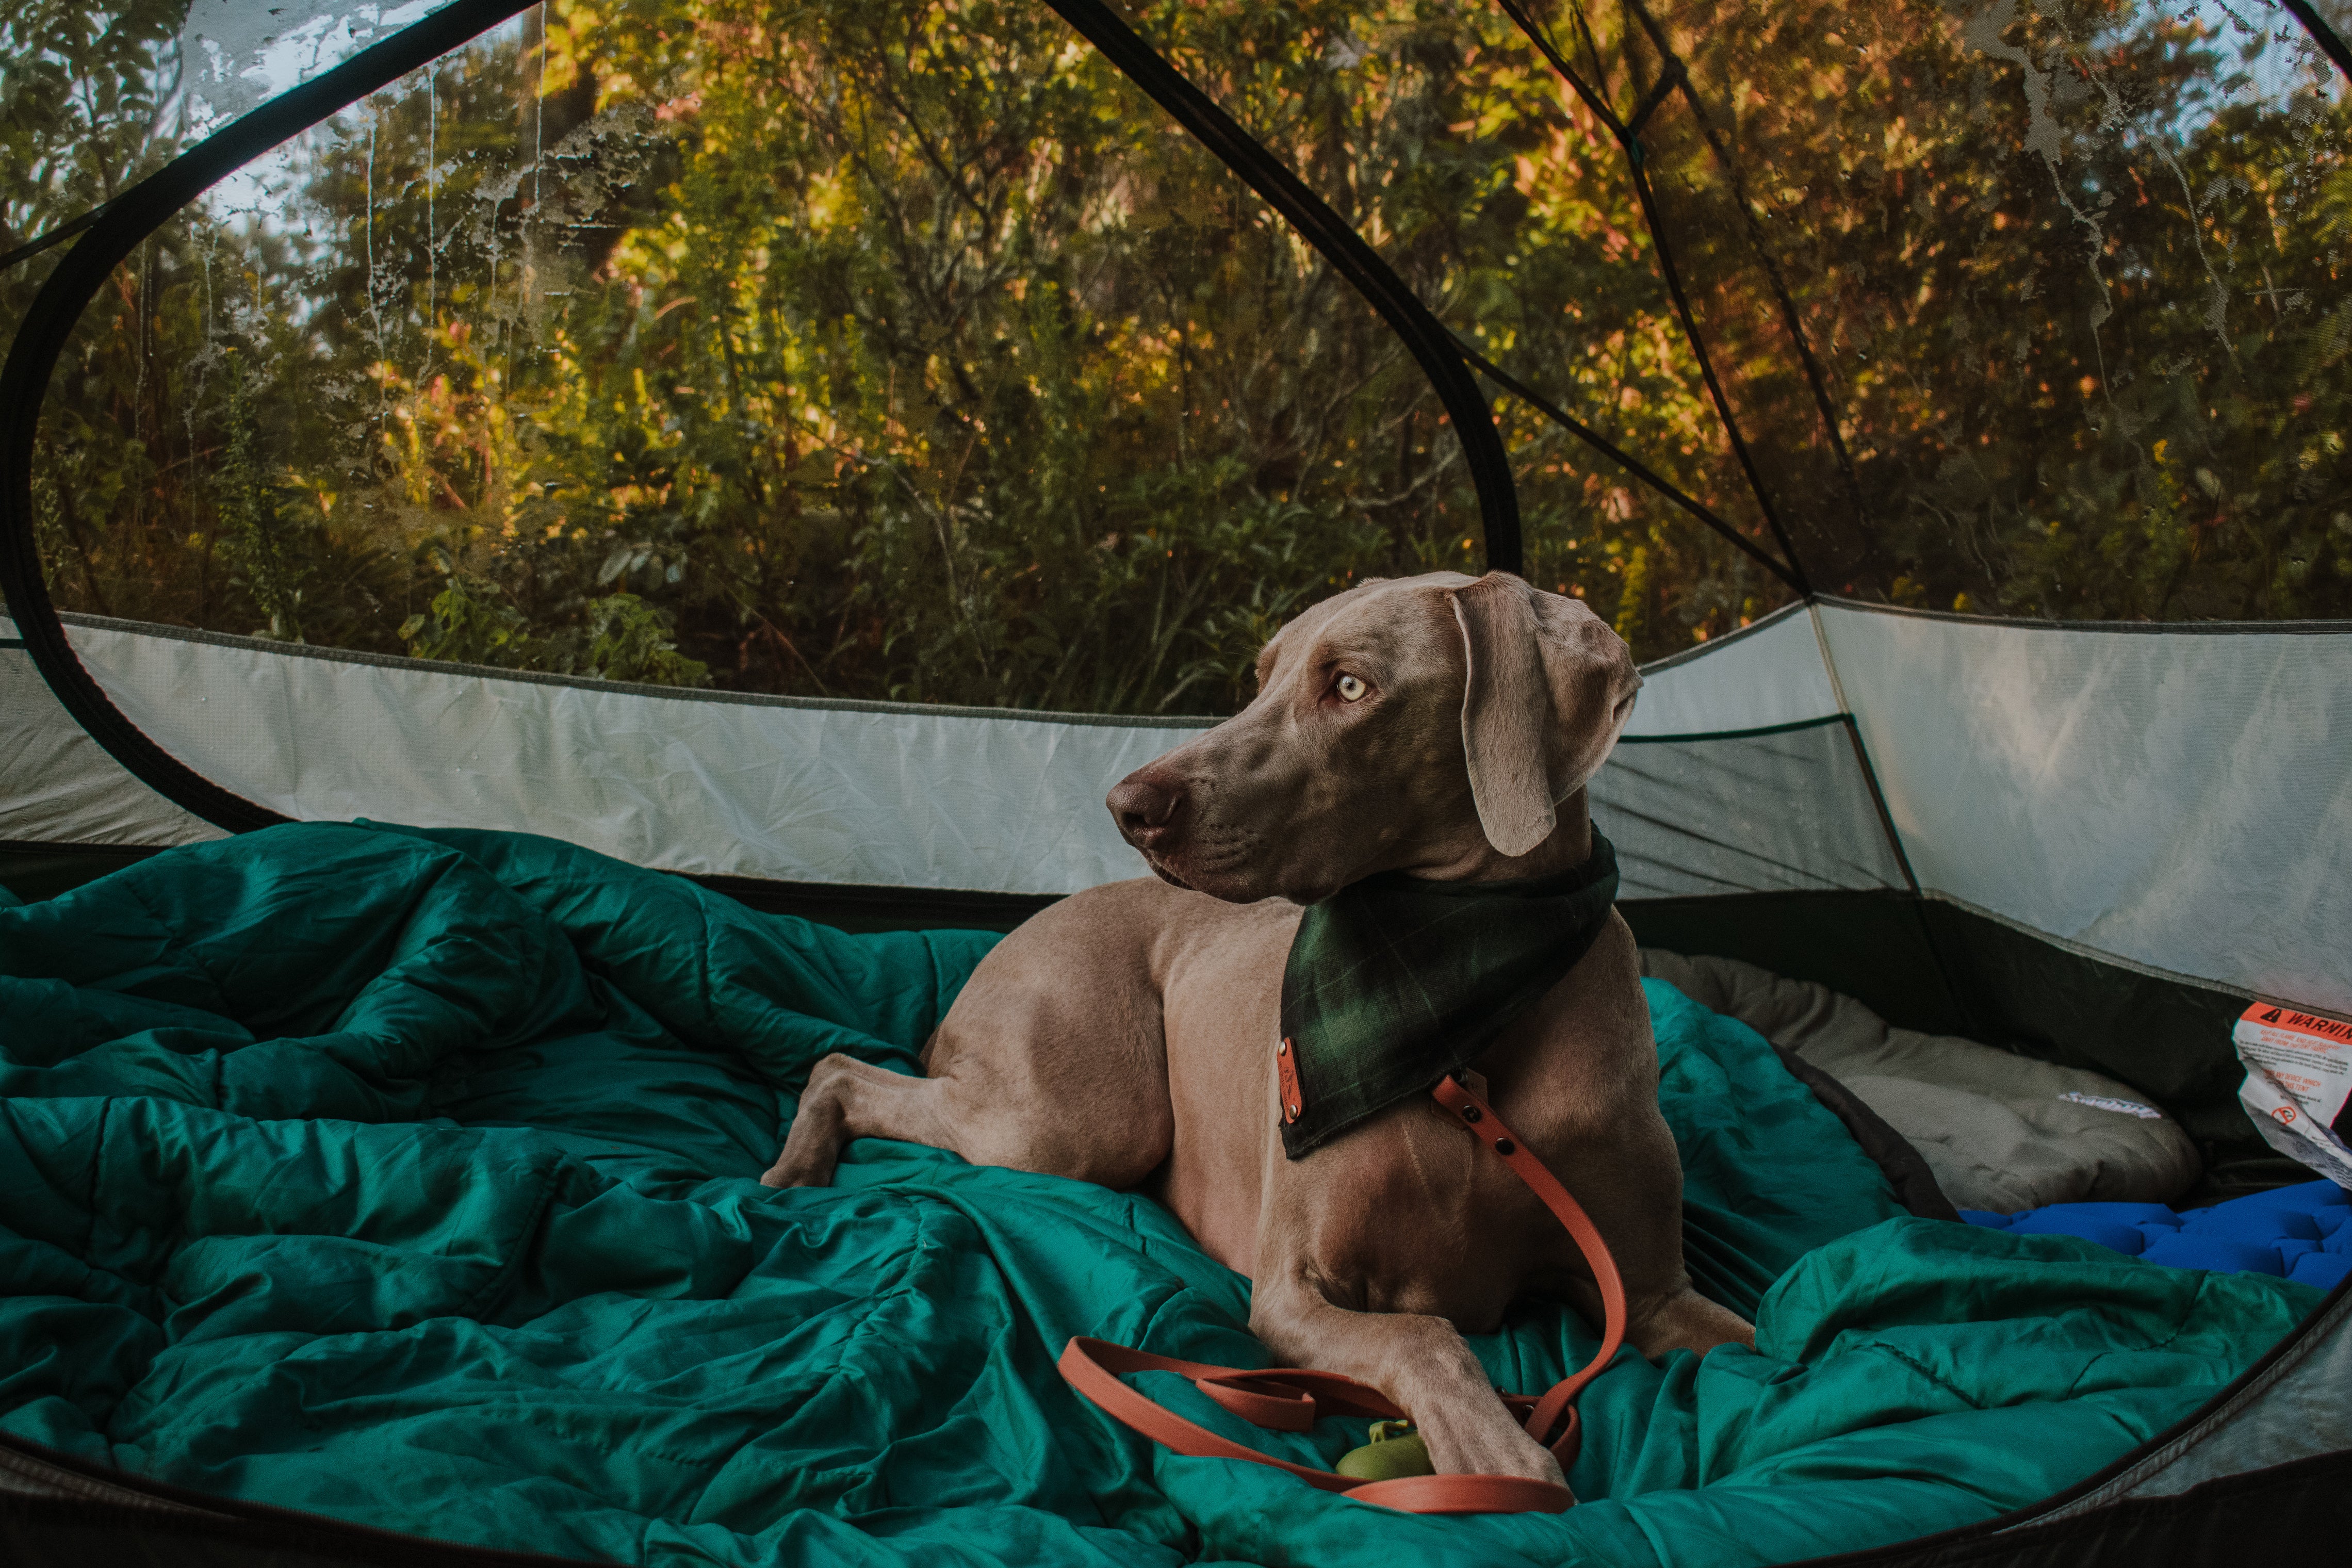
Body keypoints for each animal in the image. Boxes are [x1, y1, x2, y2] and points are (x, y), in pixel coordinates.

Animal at [762, 574, 1759, 1485]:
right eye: (1262, 676)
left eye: (1350, 685)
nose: (1128, 807)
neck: (1458, 1014)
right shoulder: (1290, 1292)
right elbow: (1424, 1333)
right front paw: (1496, 1455)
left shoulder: (1652, 1295)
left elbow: (1762, 1346)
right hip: (1075, 1125)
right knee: (843, 1066)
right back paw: (793, 1173)